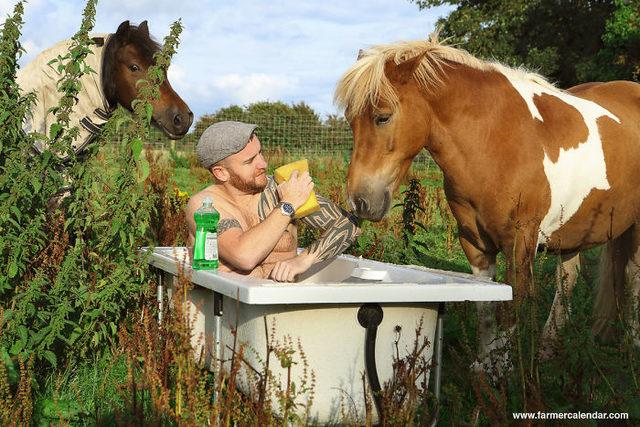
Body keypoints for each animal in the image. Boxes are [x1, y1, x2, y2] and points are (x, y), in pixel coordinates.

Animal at [336, 36, 640, 372]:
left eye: (383, 116)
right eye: (350, 121)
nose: (360, 200)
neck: (494, 139)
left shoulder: (520, 243)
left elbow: (510, 306)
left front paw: (502, 370)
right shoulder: (475, 243)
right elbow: (484, 303)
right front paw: (484, 366)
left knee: (632, 278)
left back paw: (631, 347)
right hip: (571, 227)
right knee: (568, 279)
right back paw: (548, 350)